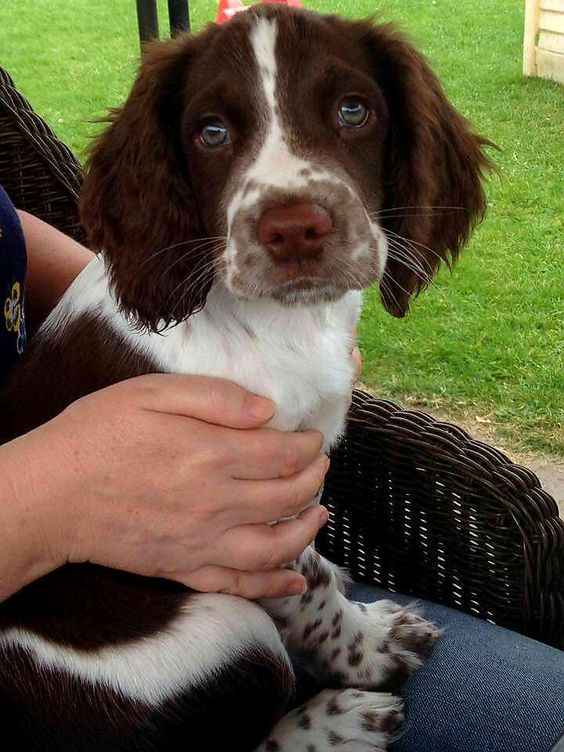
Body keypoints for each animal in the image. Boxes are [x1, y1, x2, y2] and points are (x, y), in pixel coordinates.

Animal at [0, 5, 490, 752]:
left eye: (354, 110)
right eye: (211, 132)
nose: (294, 230)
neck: (285, 326)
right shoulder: (250, 507)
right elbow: (307, 585)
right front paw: (369, 648)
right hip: (227, 628)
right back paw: (337, 721)